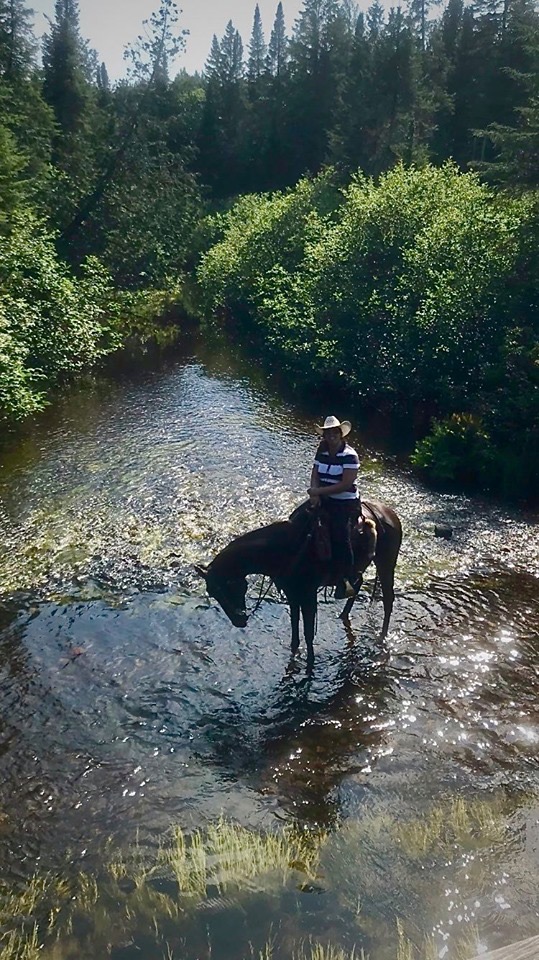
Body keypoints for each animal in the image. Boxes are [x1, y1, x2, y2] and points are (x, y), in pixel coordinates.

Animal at [196, 502, 402, 668]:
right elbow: (295, 629)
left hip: (385, 563)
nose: (239, 621)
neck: (283, 549)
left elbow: (308, 633)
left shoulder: (308, 595)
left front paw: (310, 664)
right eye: (212, 593)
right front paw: (294, 655)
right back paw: (343, 614)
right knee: (357, 584)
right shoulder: (292, 594)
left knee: (388, 599)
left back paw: (382, 638)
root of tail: (390, 514)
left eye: (225, 586)